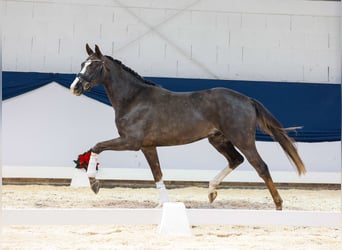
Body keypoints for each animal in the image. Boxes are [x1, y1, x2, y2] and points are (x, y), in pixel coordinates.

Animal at [71, 44, 306, 210]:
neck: (134, 99)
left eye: (94, 65)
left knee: (260, 166)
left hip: (243, 139)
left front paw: (94, 185)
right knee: (235, 160)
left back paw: (278, 205)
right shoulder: (147, 146)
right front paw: (163, 204)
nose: (75, 87)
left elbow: (96, 146)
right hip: (218, 139)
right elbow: (157, 174)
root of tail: (247, 99)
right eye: (82, 63)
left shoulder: (131, 142)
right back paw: (211, 192)